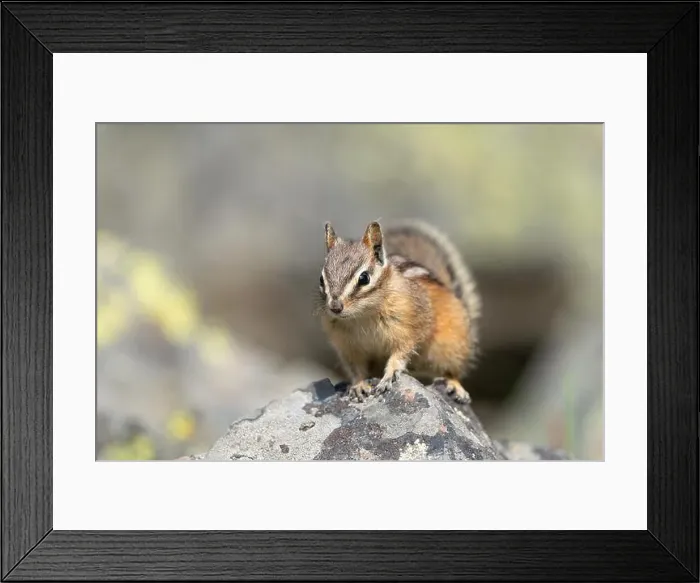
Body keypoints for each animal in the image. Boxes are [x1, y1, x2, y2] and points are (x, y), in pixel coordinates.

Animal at [316, 218, 481, 404]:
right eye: (321, 279)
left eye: (364, 278)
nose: (335, 307)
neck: (362, 316)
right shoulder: (349, 348)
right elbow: (356, 369)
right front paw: (358, 385)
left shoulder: (411, 329)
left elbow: (401, 353)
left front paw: (389, 376)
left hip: (452, 346)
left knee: (452, 371)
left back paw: (455, 386)